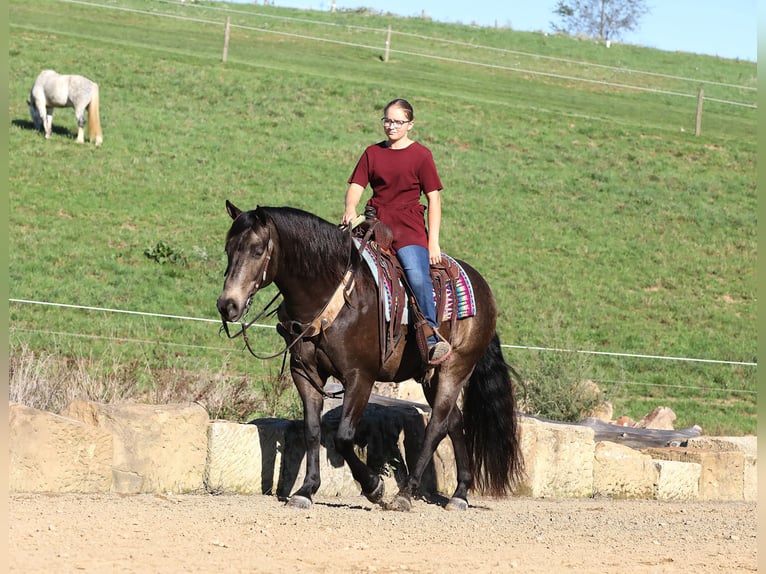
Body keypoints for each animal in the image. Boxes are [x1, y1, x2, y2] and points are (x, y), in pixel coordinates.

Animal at [219, 201, 524, 512]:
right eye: (228, 248)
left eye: (258, 250)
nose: (227, 305)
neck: (332, 294)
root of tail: (481, 287)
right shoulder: (305, 373)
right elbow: (312, 431)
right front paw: (306, 490)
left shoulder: (360, 377)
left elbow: (343, 437)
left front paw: (374, 487)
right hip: (431, 376)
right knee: (454, 421)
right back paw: (460, 493)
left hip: (456, 367)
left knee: (437, 426)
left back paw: (405, 493)